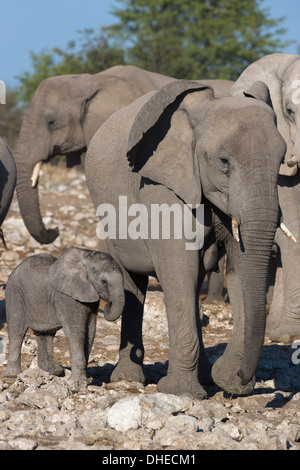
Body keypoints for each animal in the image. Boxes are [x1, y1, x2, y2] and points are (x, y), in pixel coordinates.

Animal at [4, 246, 124, 390]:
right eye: (104, 282)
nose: (108, 305)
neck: (86, 256)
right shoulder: (66, 297)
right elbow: (76, 330)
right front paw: (78, 383)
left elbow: (90, 330)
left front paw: (84, 379)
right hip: (14, 294)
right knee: (17, 331)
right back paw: (13, 375)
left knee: (46, 334)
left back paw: (53, 371)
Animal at [84, 79, 286, 398]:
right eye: (224, 161)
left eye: (282, 161)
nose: (241, 378)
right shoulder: (161, 183)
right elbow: (179, 268)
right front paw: (180, 392)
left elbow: (240, 268)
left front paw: (223, 380)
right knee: (132, 280)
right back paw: (128, 379)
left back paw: (202, 375)